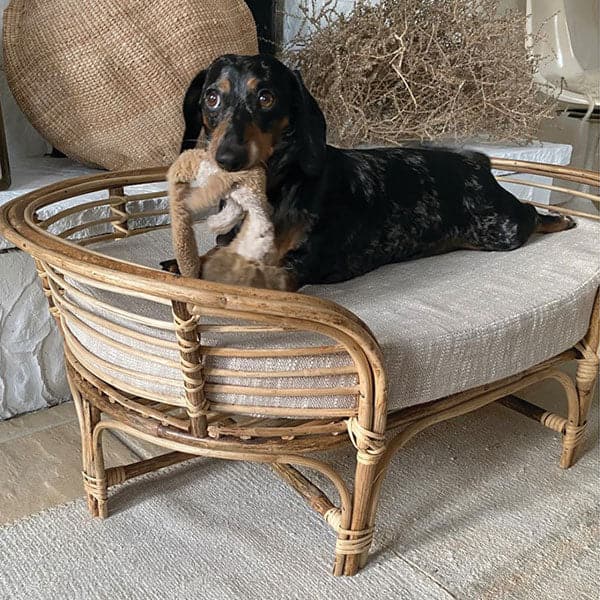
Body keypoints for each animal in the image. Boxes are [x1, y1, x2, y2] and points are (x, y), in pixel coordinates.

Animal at [180, 55, 576, 290]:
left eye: (266, 97)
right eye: (212, 98)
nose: (227, 157)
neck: (278, 188)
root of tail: (478, 162)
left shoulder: (298, 267)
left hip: (500, 230)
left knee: (530, 212)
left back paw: (560, 219)